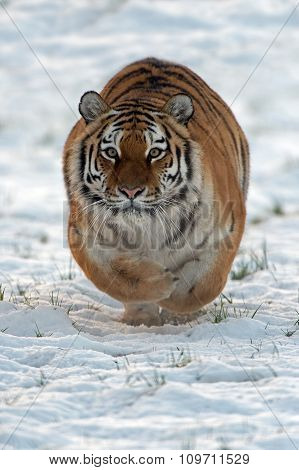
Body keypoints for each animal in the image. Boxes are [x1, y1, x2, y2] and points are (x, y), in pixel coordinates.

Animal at [63, 56, 251, 326]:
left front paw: (176, 296)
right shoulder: (84, 236)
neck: (148, 226)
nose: (131, 191)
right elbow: (116, 278)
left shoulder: (225, 229)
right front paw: (161, 287)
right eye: (111, 152)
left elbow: (203, 284)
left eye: (154, 152)